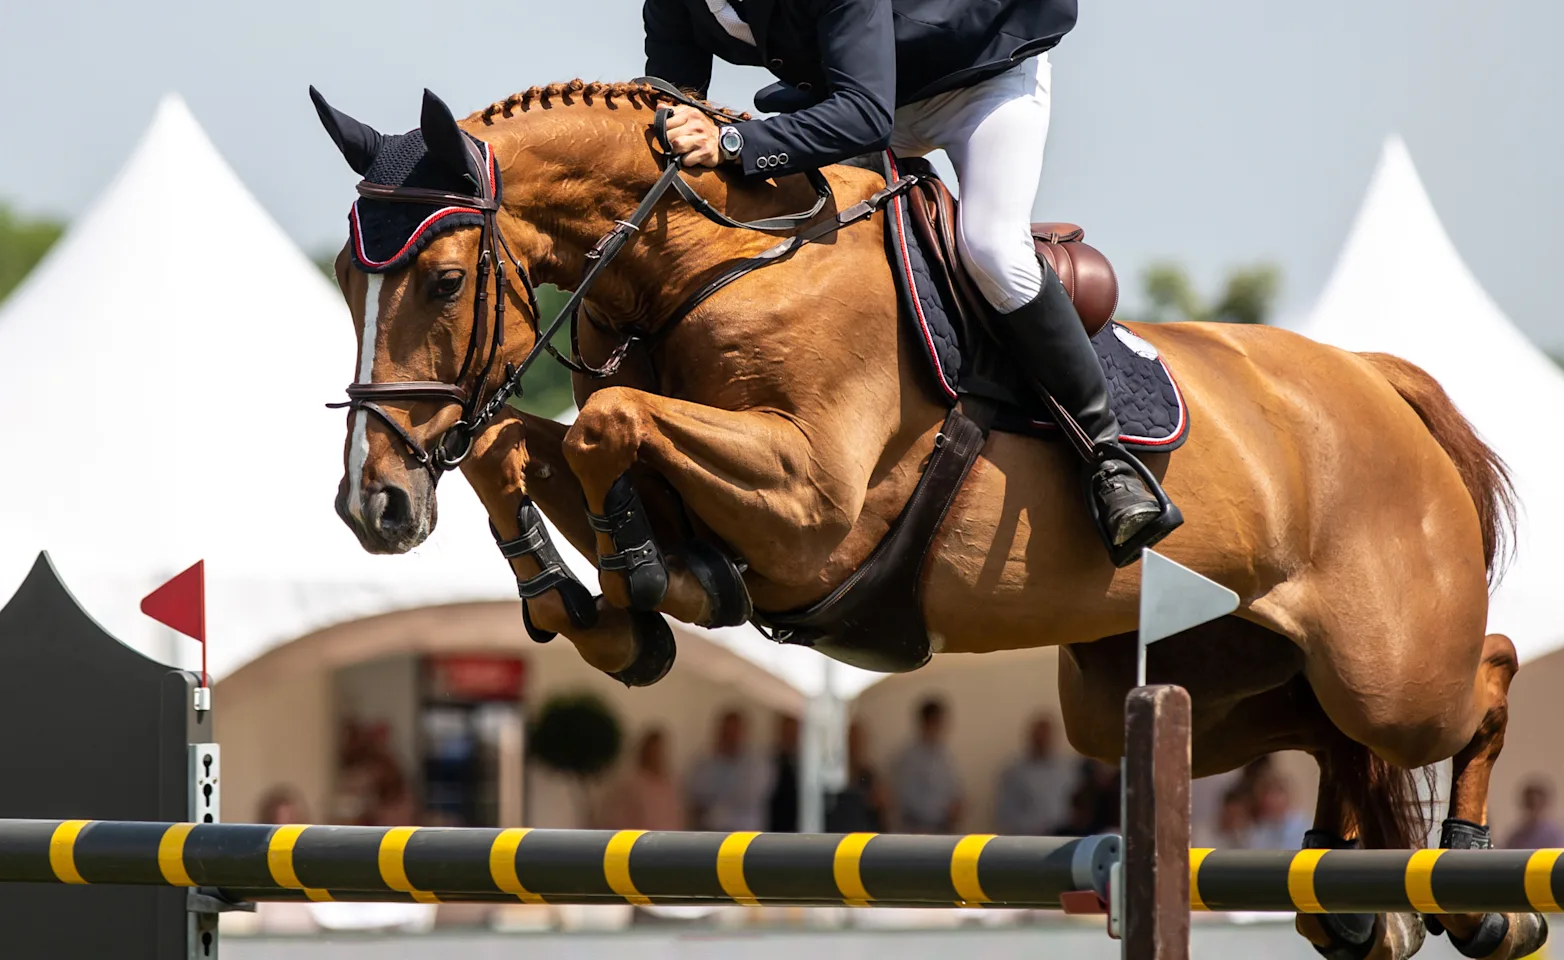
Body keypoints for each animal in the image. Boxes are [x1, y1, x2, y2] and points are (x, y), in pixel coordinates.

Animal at [314, 79, 1538, 959]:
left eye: (443, 280)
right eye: (342, 279)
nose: (373, 506)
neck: (712, 261)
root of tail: (1374, 380)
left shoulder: (811, 504)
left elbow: (605, 423)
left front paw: (644, 584)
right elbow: (530, 444)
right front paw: (597, 605)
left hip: (1386, 667)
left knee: (1479, 674)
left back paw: (1480, 895)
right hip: (1167, 679)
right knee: (1317, 732)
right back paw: (1353, 896)